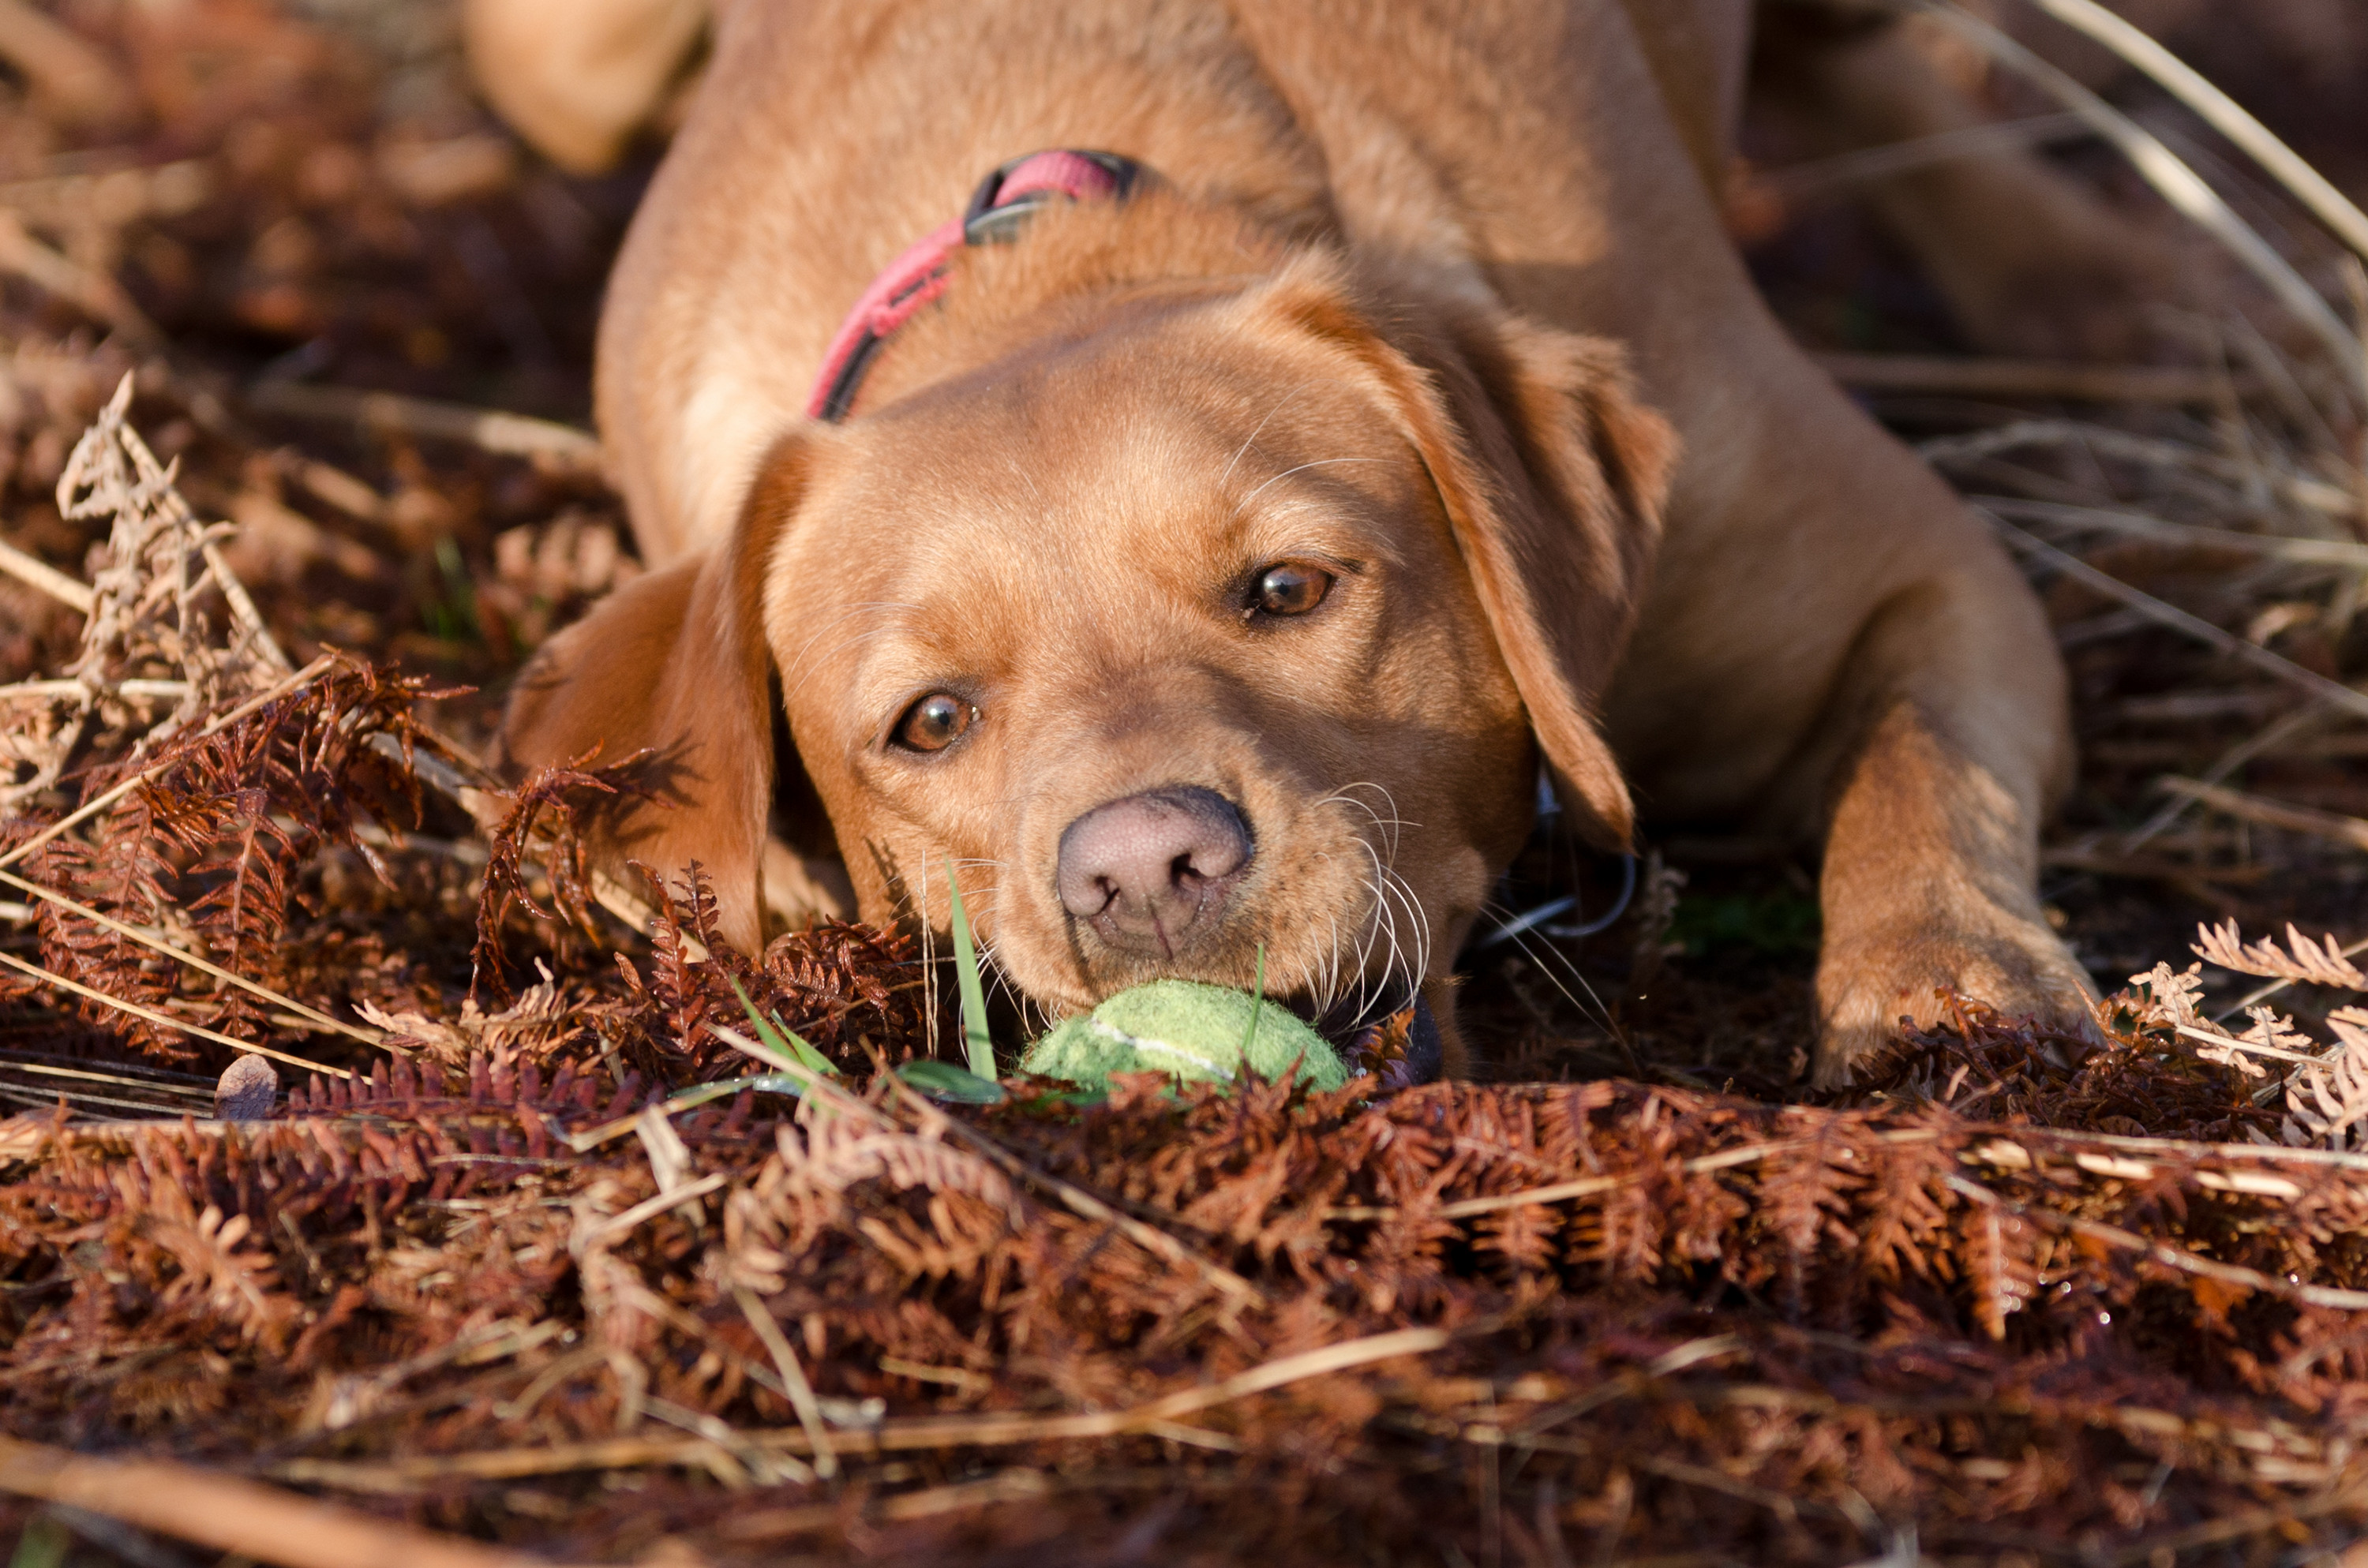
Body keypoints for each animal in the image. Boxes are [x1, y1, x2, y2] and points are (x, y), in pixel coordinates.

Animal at [495, 0, 2093, 1080]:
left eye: (1287, 587)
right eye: (930, 722)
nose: (1144, 871)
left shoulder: (1926, 566)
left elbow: (1921, 776)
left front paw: (1948, 987)